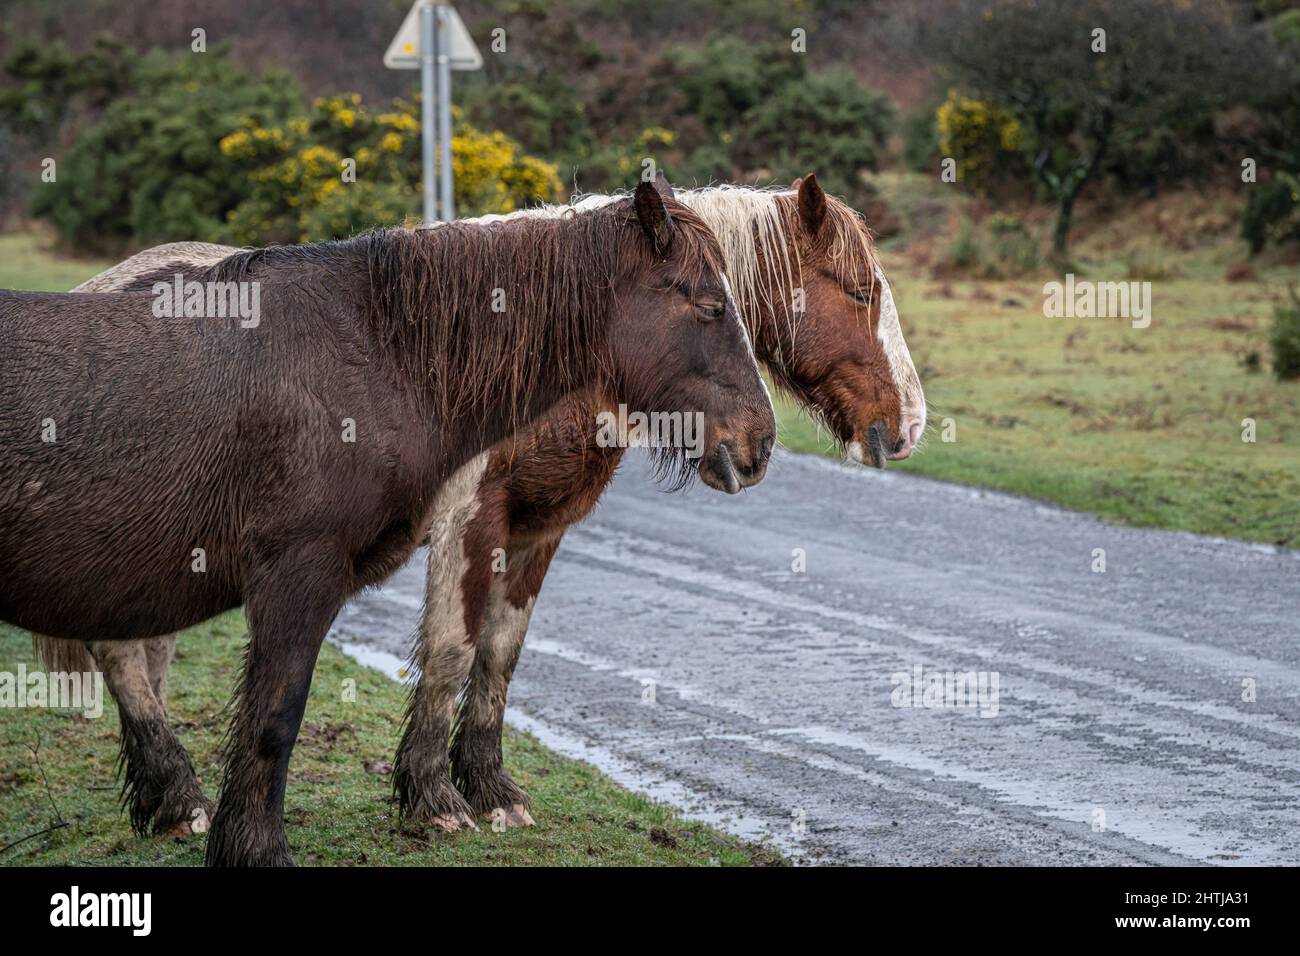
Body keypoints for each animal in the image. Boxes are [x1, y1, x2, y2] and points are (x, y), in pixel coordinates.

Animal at [30, 173, 924, 838]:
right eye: (859, 292)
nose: (908, 424)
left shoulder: (538, 531)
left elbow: (501, 653)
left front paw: (490, 789)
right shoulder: (470, 523)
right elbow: (453, 651)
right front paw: (432, 799)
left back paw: (165, 796)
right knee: (123, 656)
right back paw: (178, 795)